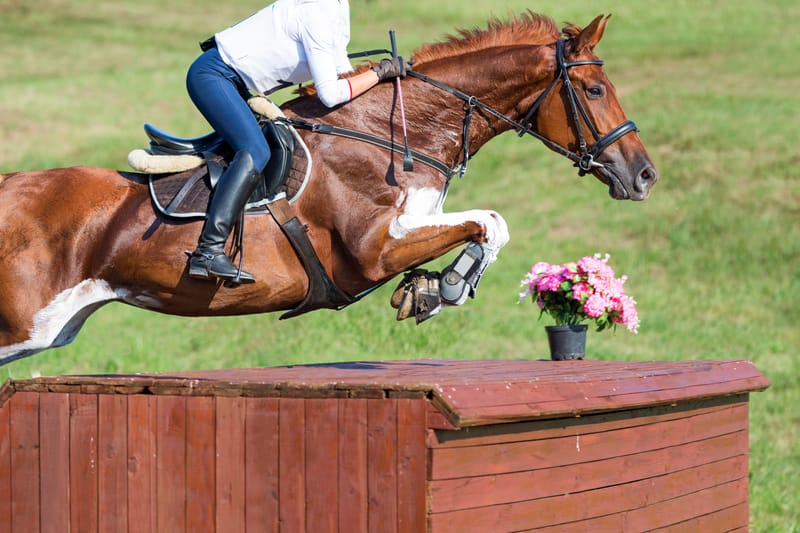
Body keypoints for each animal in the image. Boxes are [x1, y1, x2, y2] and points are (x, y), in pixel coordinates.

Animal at [0, 13, 657, 365]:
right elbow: (490, 220)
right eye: (596, 91)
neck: (397, 132)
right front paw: (444, 286)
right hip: (23, 327)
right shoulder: (371, 251)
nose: (644, 176)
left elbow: (488, 223)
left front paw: (429, 289)